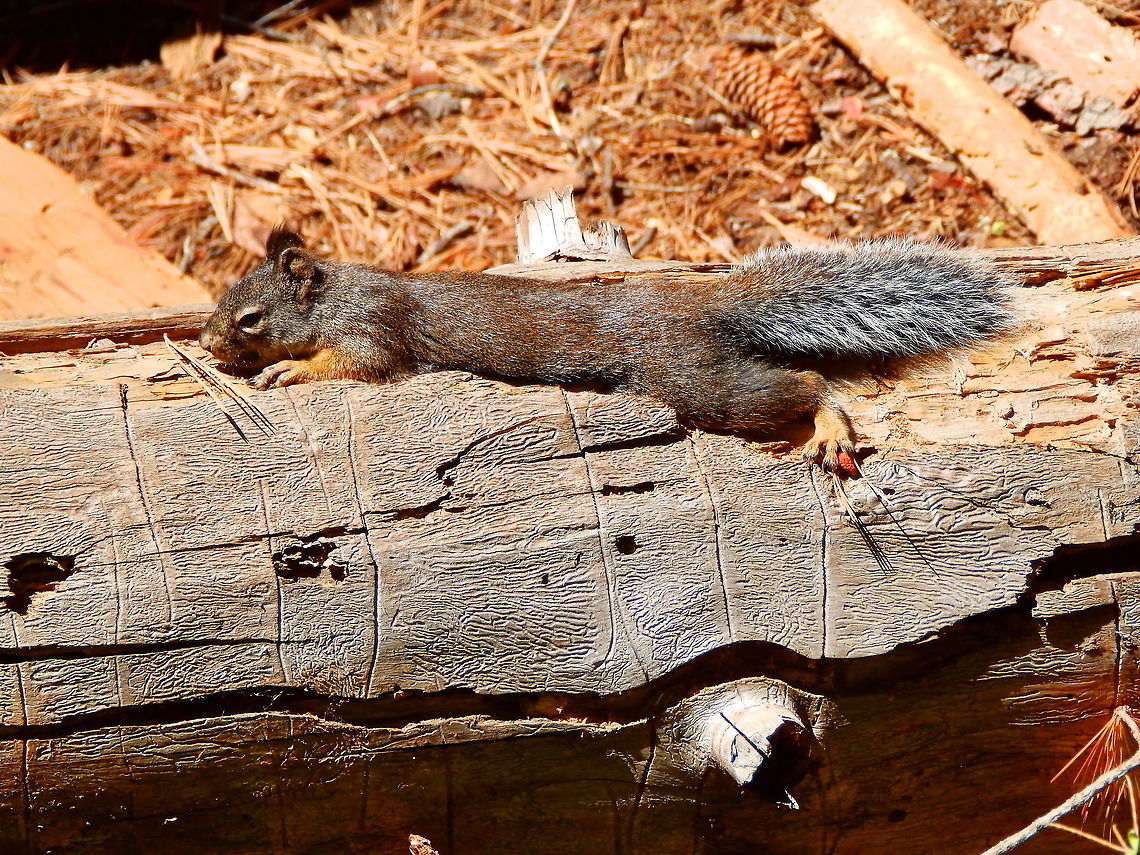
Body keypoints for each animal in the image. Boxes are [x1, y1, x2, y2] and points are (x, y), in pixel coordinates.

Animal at [198, 226, 1017, 471]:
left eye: (249, 319)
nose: (205, 347)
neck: (336, 291)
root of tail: (702, 302)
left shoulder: (374, 329)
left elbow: (354, 367)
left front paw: (287, 369)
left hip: (696, 382)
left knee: (807, 383)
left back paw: (828, 427)